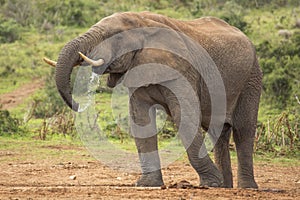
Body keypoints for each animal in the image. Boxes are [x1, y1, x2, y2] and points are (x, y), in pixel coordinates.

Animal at [43, 11, 262, 188]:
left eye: (114, 36)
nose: (77, 105)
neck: (141, 20)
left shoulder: (182, 71)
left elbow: (185, 118)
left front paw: (211, 184)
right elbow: (141, 121)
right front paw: (147, 185)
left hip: (251, 78)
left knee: (244, 130)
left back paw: (246, 188)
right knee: (220, 132)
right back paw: (227, 186)